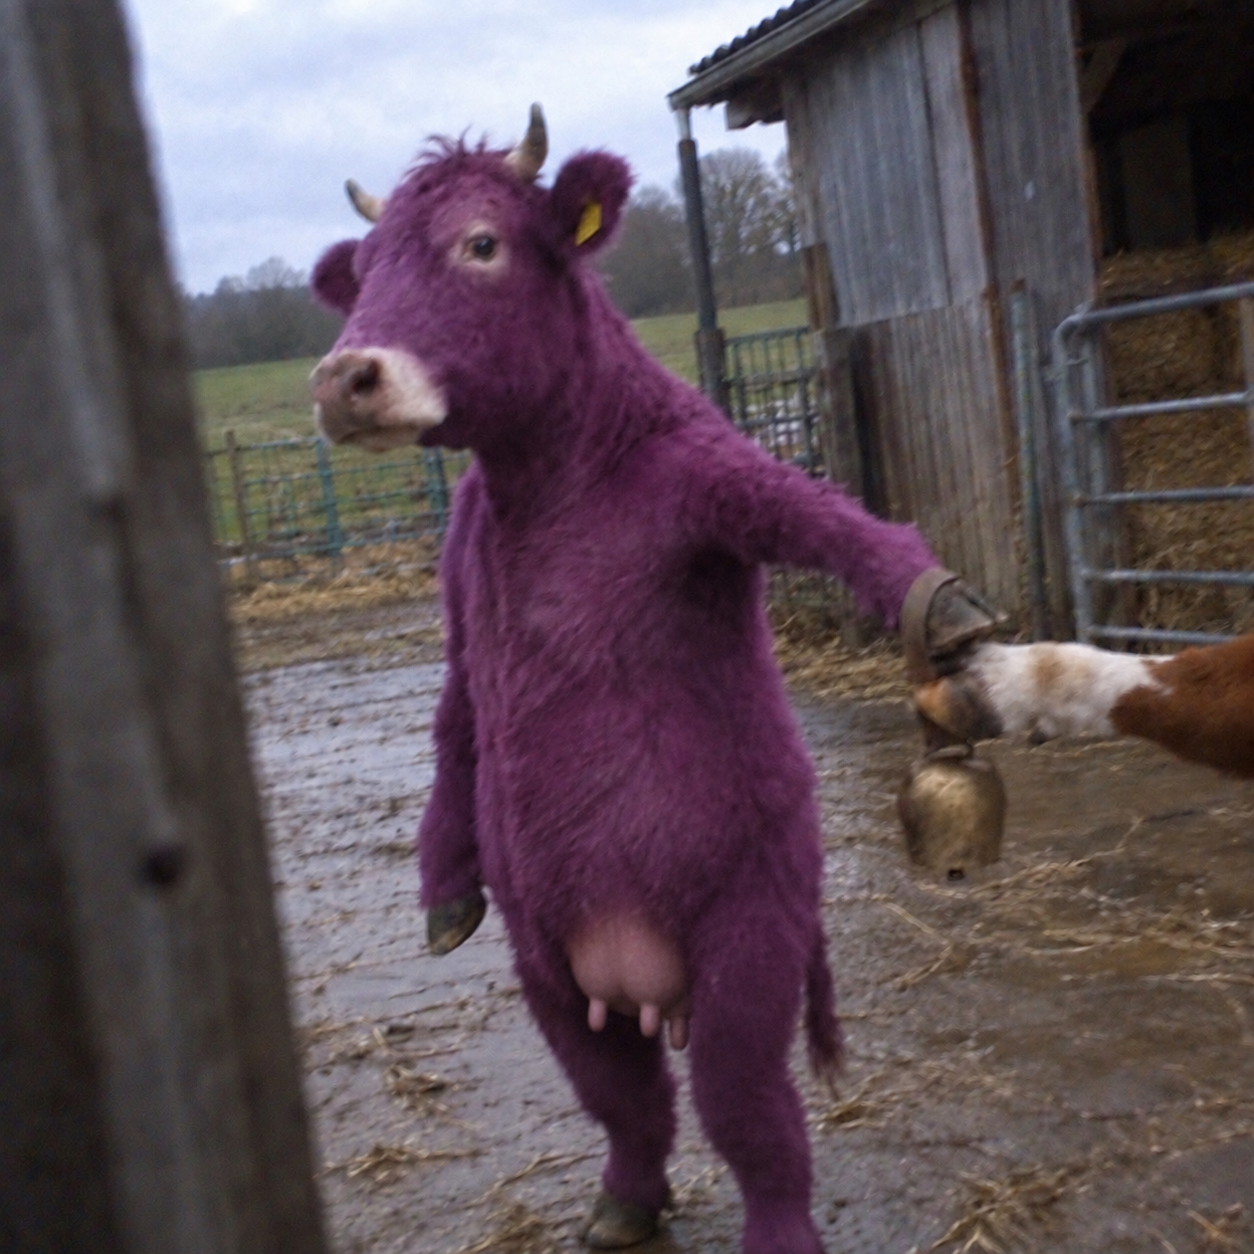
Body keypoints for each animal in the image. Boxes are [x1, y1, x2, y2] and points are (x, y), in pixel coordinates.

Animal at [309, 106, 987, 1253]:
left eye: (481, 244)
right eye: (364, 269)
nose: (345, 377)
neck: (549, 481)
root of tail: (646, 984)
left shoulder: (711, 484)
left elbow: (815, 513)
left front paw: (936, 599)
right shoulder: (461, 618)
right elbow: (454, 724)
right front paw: (443, 890)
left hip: (749, 944)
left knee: (747, 1109)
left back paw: (775, 1231)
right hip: (547, 965)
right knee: (624, 1097)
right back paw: (624, 1200)